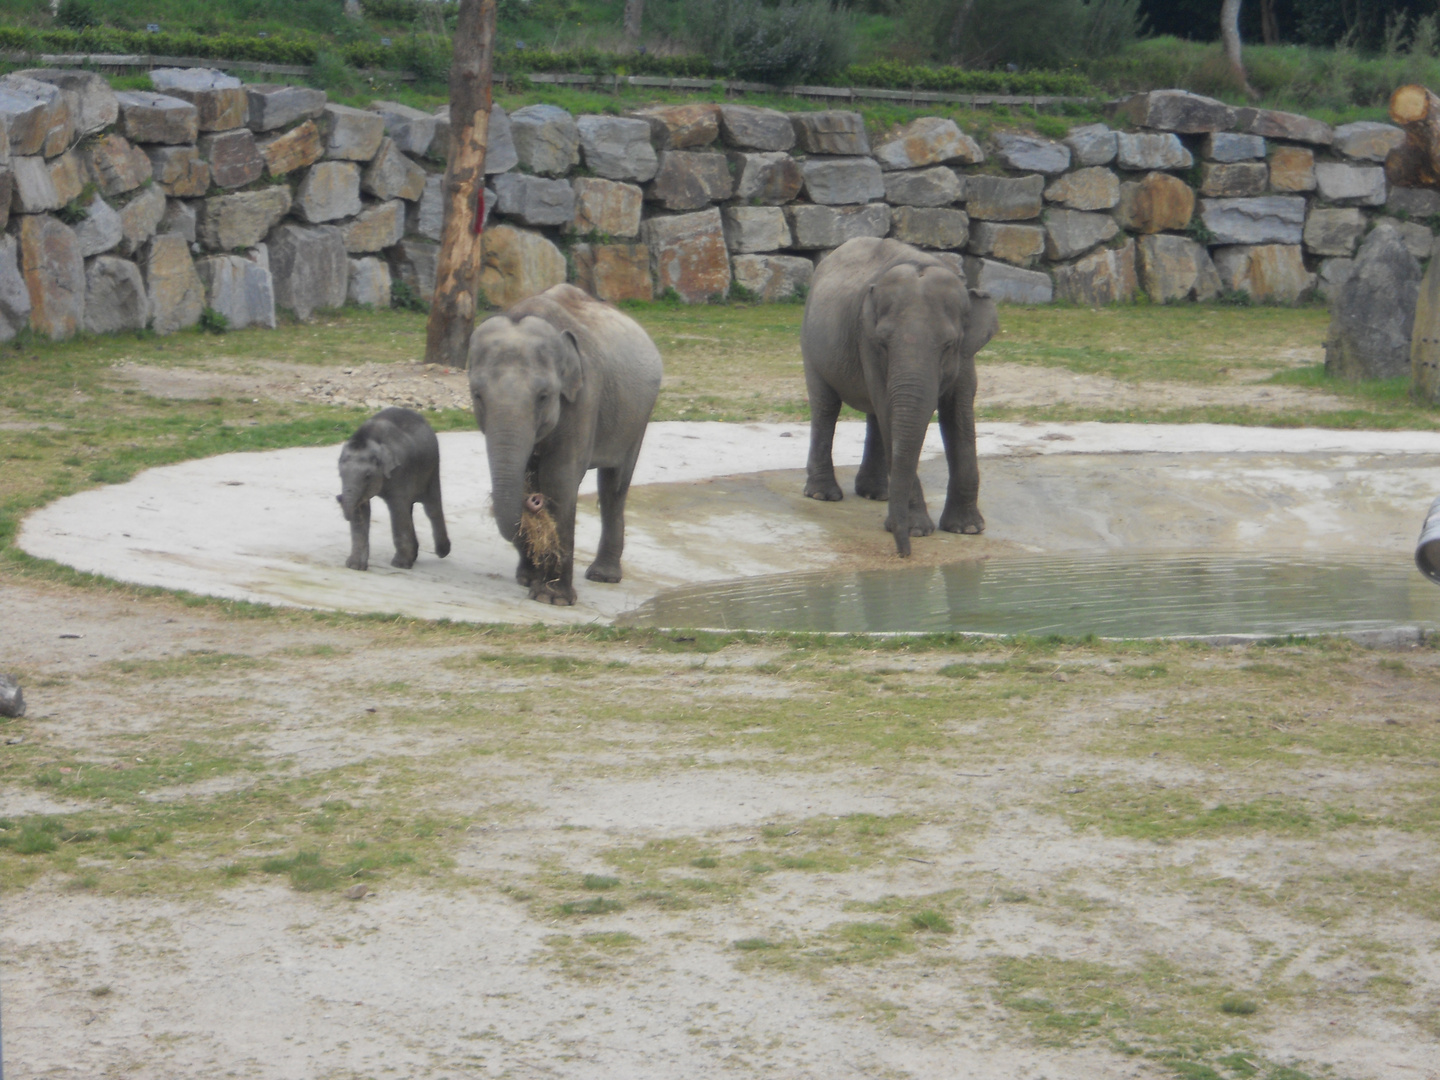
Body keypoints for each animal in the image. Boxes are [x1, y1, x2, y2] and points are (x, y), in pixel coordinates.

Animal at [336, 408, 449, 576]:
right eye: (340, 475)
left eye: (367, 476)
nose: (339, 497)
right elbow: (363, 510)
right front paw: (354, 566)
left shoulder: (400, 470)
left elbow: (397, 509)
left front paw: (400, 565)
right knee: (409, 509)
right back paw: (414, 556)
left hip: (432, 466)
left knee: (431, 507)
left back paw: (442, 552)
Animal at [466, 288, 662, 604]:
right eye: (477, 395)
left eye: (544, 396)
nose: (533, 502)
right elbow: (528, 477)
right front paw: (527, 579)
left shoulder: (584, 396)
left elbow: (558, 478)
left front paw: (551, 598)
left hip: (638, 417)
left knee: (614, 485)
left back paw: (603, 577)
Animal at [800, 237, 1002, 558]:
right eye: (883, 342)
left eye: (949, 344)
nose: (903, 554)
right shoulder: (866, 340)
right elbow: (889, 408)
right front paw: (916, 531)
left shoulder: (966, 356)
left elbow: (958, 411)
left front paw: (967, 529)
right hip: (811, 341)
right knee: (826, 406)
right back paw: (824, 495)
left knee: (874, 418)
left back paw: (877, 494)